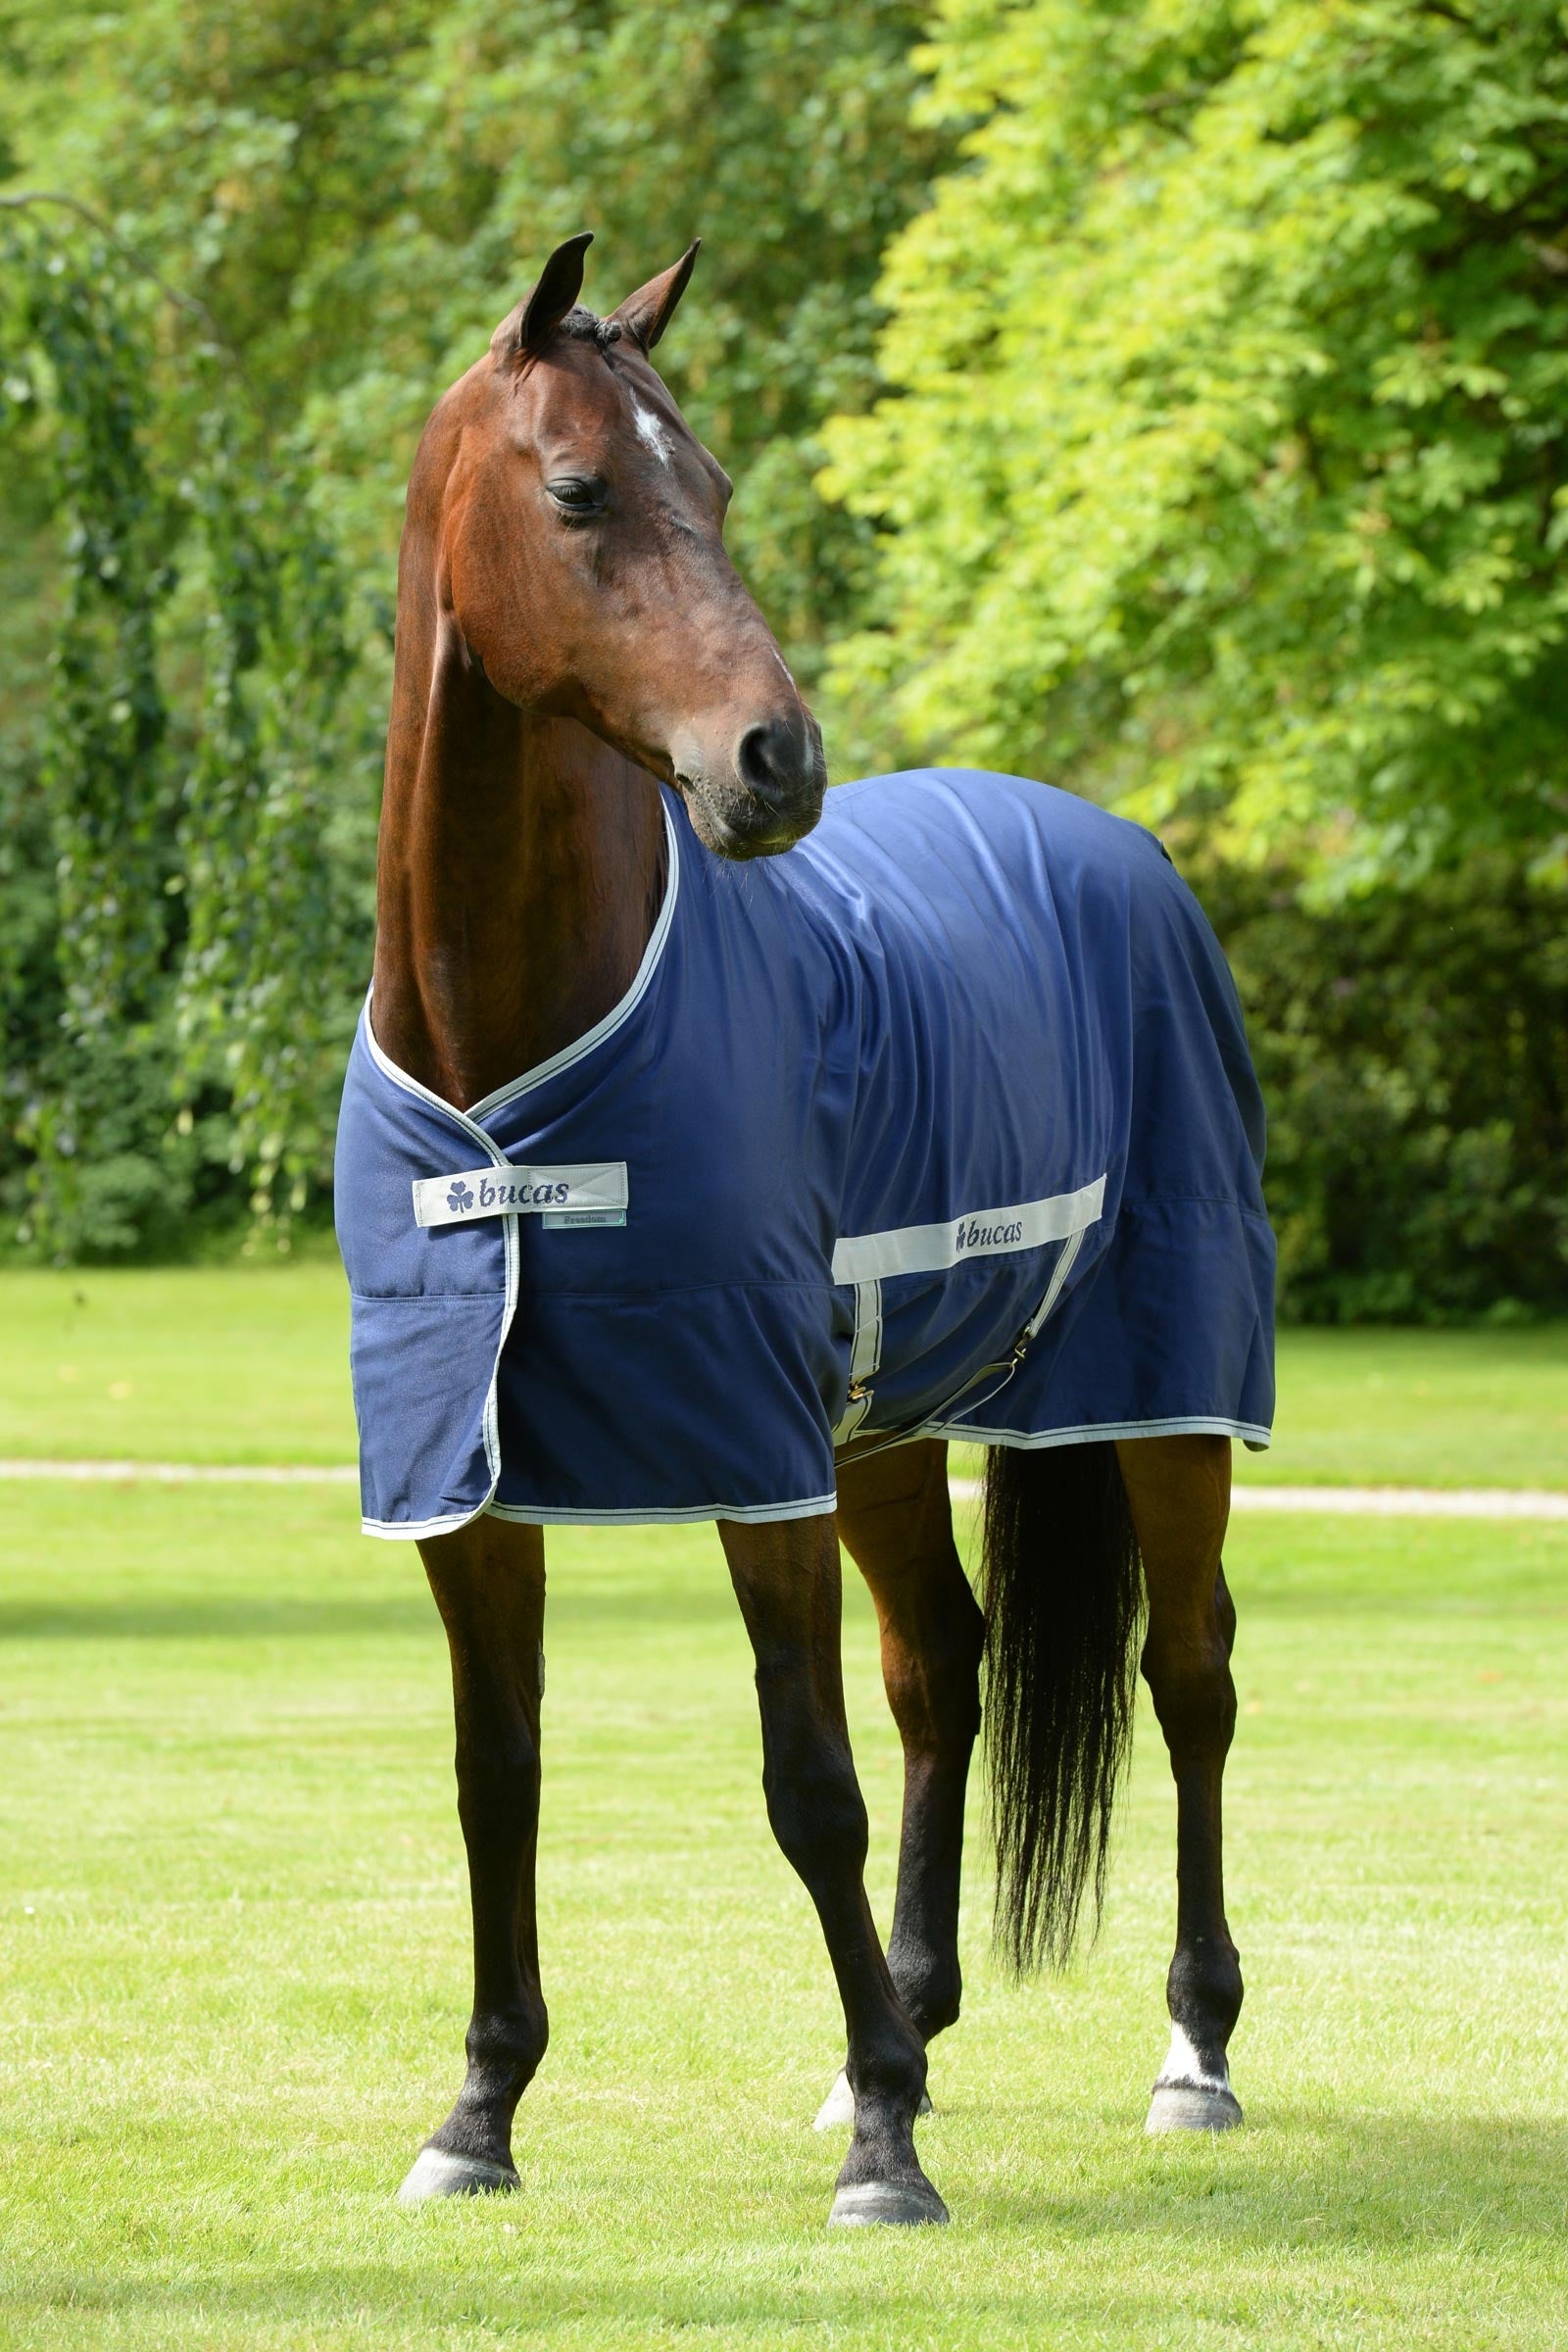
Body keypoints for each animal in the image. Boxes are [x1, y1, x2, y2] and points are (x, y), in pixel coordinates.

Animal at [338, 231, 1271, 2229]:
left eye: (718, 487)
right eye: (582, 490)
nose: (777, 761)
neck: (508, 1056)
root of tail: (1117, 849)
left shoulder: (750, 1463)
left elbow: (803, 1784)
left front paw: (887, 2156)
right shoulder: (466, 1476)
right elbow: (496, 1772)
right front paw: (481, 2111)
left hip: (1160, 1397)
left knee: (1190, 1679)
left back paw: (1190, 2053)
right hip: (884, 1435)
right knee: (945, 1673)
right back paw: (905, 2019)